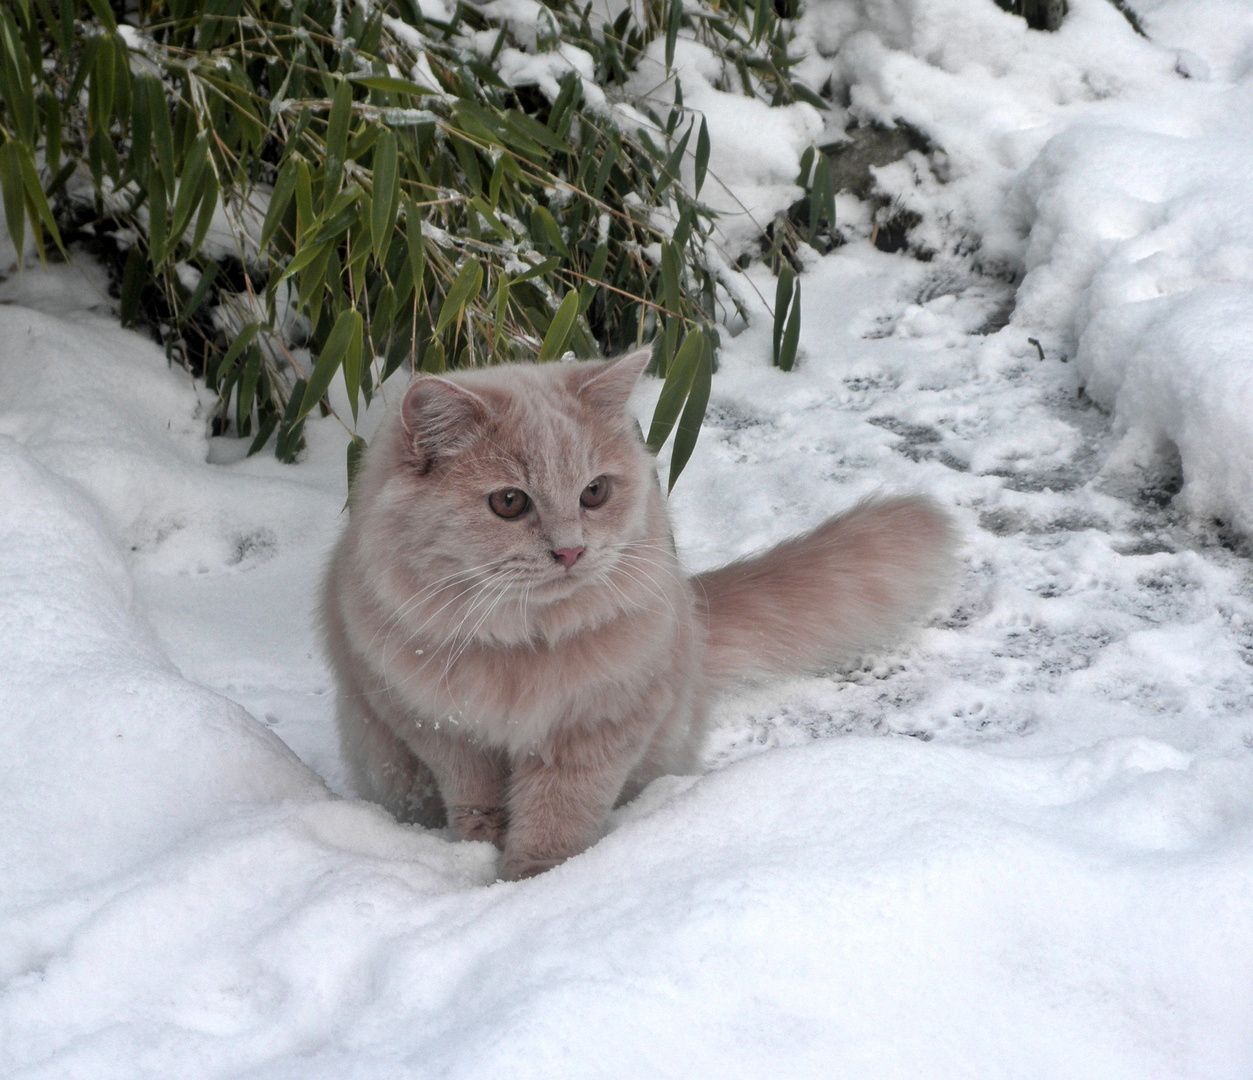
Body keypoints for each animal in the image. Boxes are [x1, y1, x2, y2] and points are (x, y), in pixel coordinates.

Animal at [323, 350, 957, 882]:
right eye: (509, 502)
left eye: (594, 493)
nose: (571, 552)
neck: (523, 643)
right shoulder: (437, 727)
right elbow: (477, 803)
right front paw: (485, 856)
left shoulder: (597, 727)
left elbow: (558, 815)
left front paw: (533, 881)